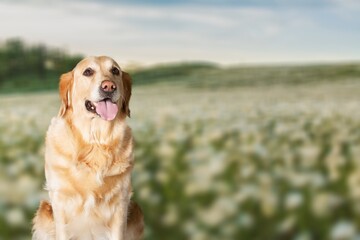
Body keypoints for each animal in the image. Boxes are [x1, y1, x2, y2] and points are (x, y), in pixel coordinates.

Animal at [31, 56, 143, 240]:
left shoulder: (120, 202)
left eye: (115, 71)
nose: (109, 86)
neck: (95, 141)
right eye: (88, 72)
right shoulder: (60, 201)